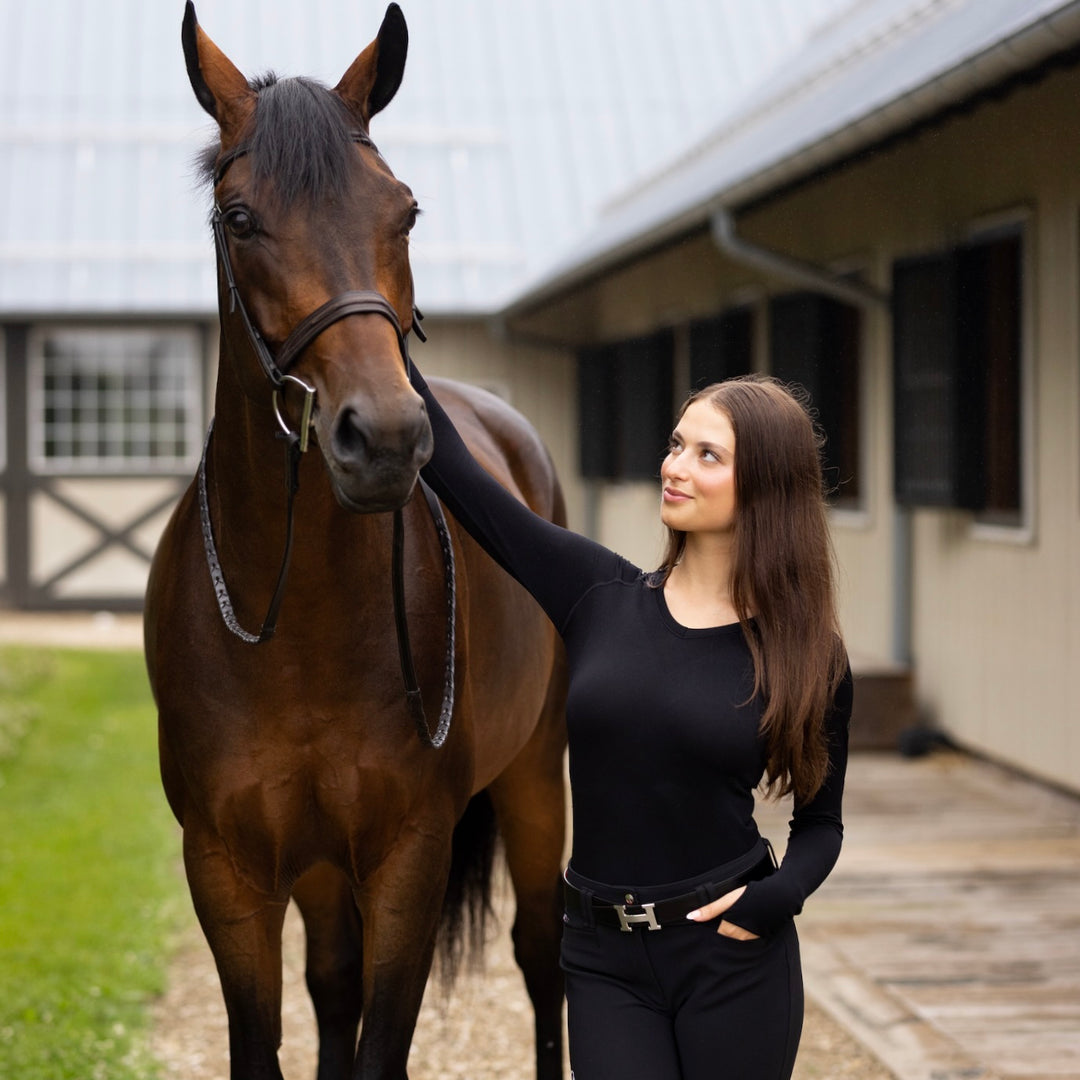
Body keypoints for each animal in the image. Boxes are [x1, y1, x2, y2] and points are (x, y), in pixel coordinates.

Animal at [147, 4, 570, 1075]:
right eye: (240, 219)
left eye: (405, 212)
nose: (382, 438)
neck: (298, 627)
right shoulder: (229, 870)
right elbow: (275, 1037)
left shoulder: (407, 860)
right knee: (333, 983)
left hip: (536, 776)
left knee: (544, 956)